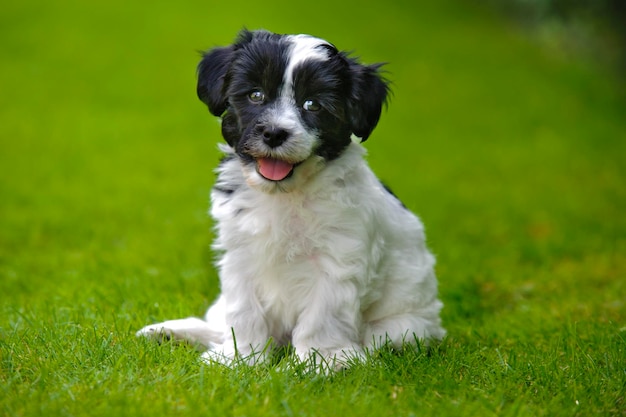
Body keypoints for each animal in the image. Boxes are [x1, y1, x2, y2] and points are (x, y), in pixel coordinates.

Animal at [139, 28, 446, 368]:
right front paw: (239, 358)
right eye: (255, 95)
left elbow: (323, 315)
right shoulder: (242, 254)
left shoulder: (337, 259)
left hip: (404, 328)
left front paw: (320, 362)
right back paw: (171, 332)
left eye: (313, 104)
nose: (274, 133)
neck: (285, 194)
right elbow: (243, 310)